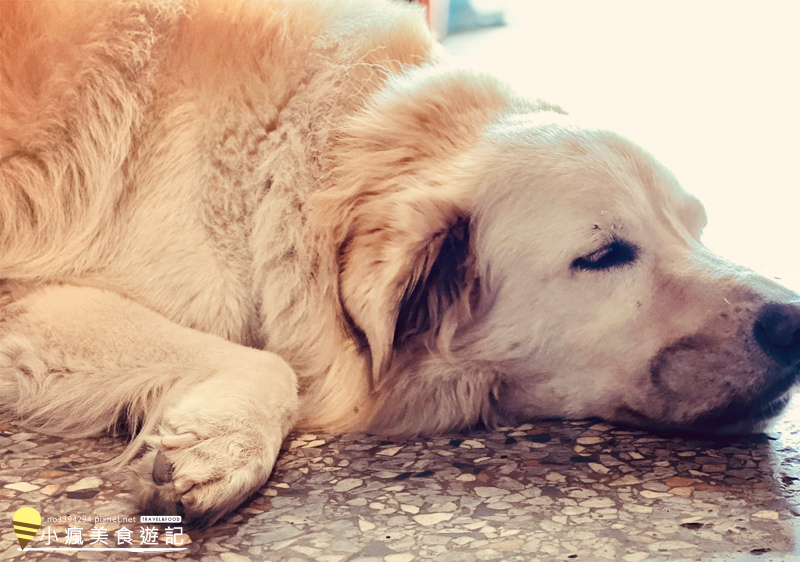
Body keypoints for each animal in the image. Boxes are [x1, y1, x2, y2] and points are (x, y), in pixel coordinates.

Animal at [1, 0, 800, 524]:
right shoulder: (29, 296)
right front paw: (222, 442)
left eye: (696, 230)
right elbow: (271, 363)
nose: (793, 323)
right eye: (605, 255)